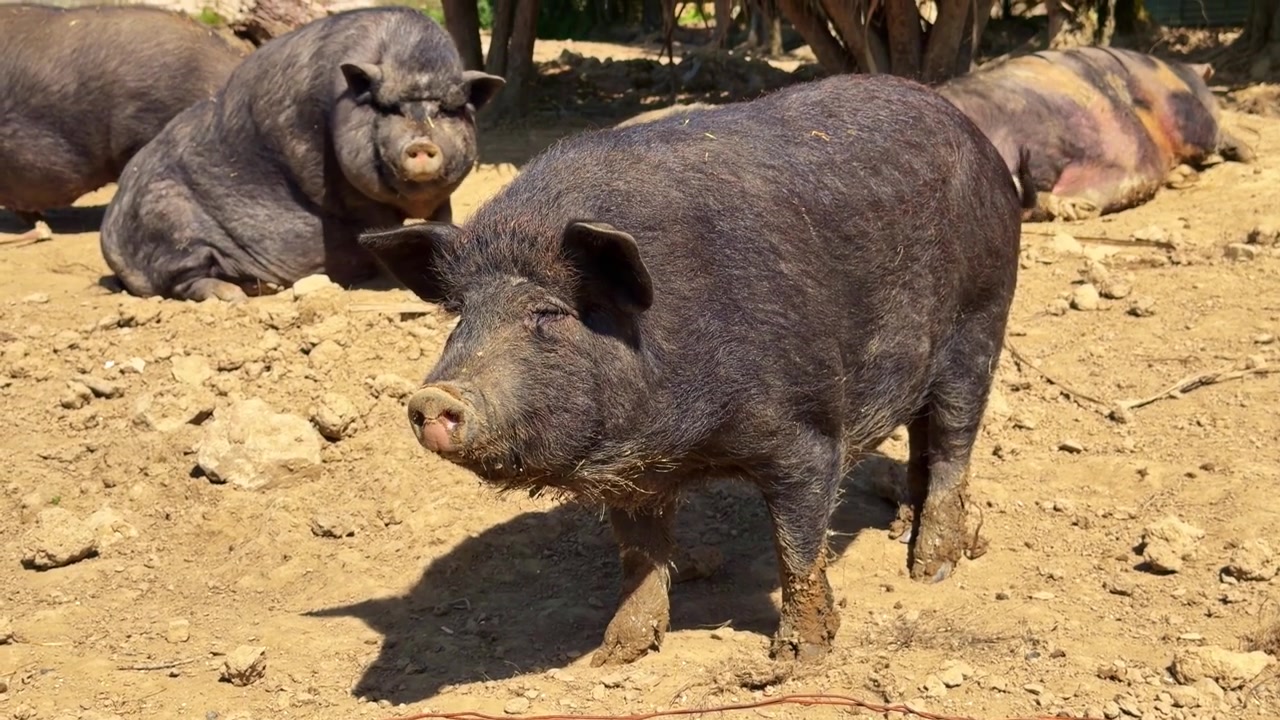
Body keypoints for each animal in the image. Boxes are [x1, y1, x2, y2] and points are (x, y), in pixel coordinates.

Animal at [98, 7, 504, 303]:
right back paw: (233, 296)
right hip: (170, 223)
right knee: (185, 281)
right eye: (388, 108)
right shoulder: (352, 195)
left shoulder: (441, 197)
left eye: (447, 110)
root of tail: (110, 233)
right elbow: (377, 226)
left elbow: (442, 216)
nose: (420, 144)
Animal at [358, 72, 1033, 666]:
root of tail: (974, 134)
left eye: (548, 312)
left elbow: (798, 545)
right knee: (923, 435)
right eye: (459, 314)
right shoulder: (632, 472)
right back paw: (903, 529)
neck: (682, 441)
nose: (432, 399)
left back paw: (930, 568)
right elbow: (639, 552)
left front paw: (798, 658)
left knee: (953, 441)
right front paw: (614, 655)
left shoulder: (808, 430)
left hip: (982, 321)